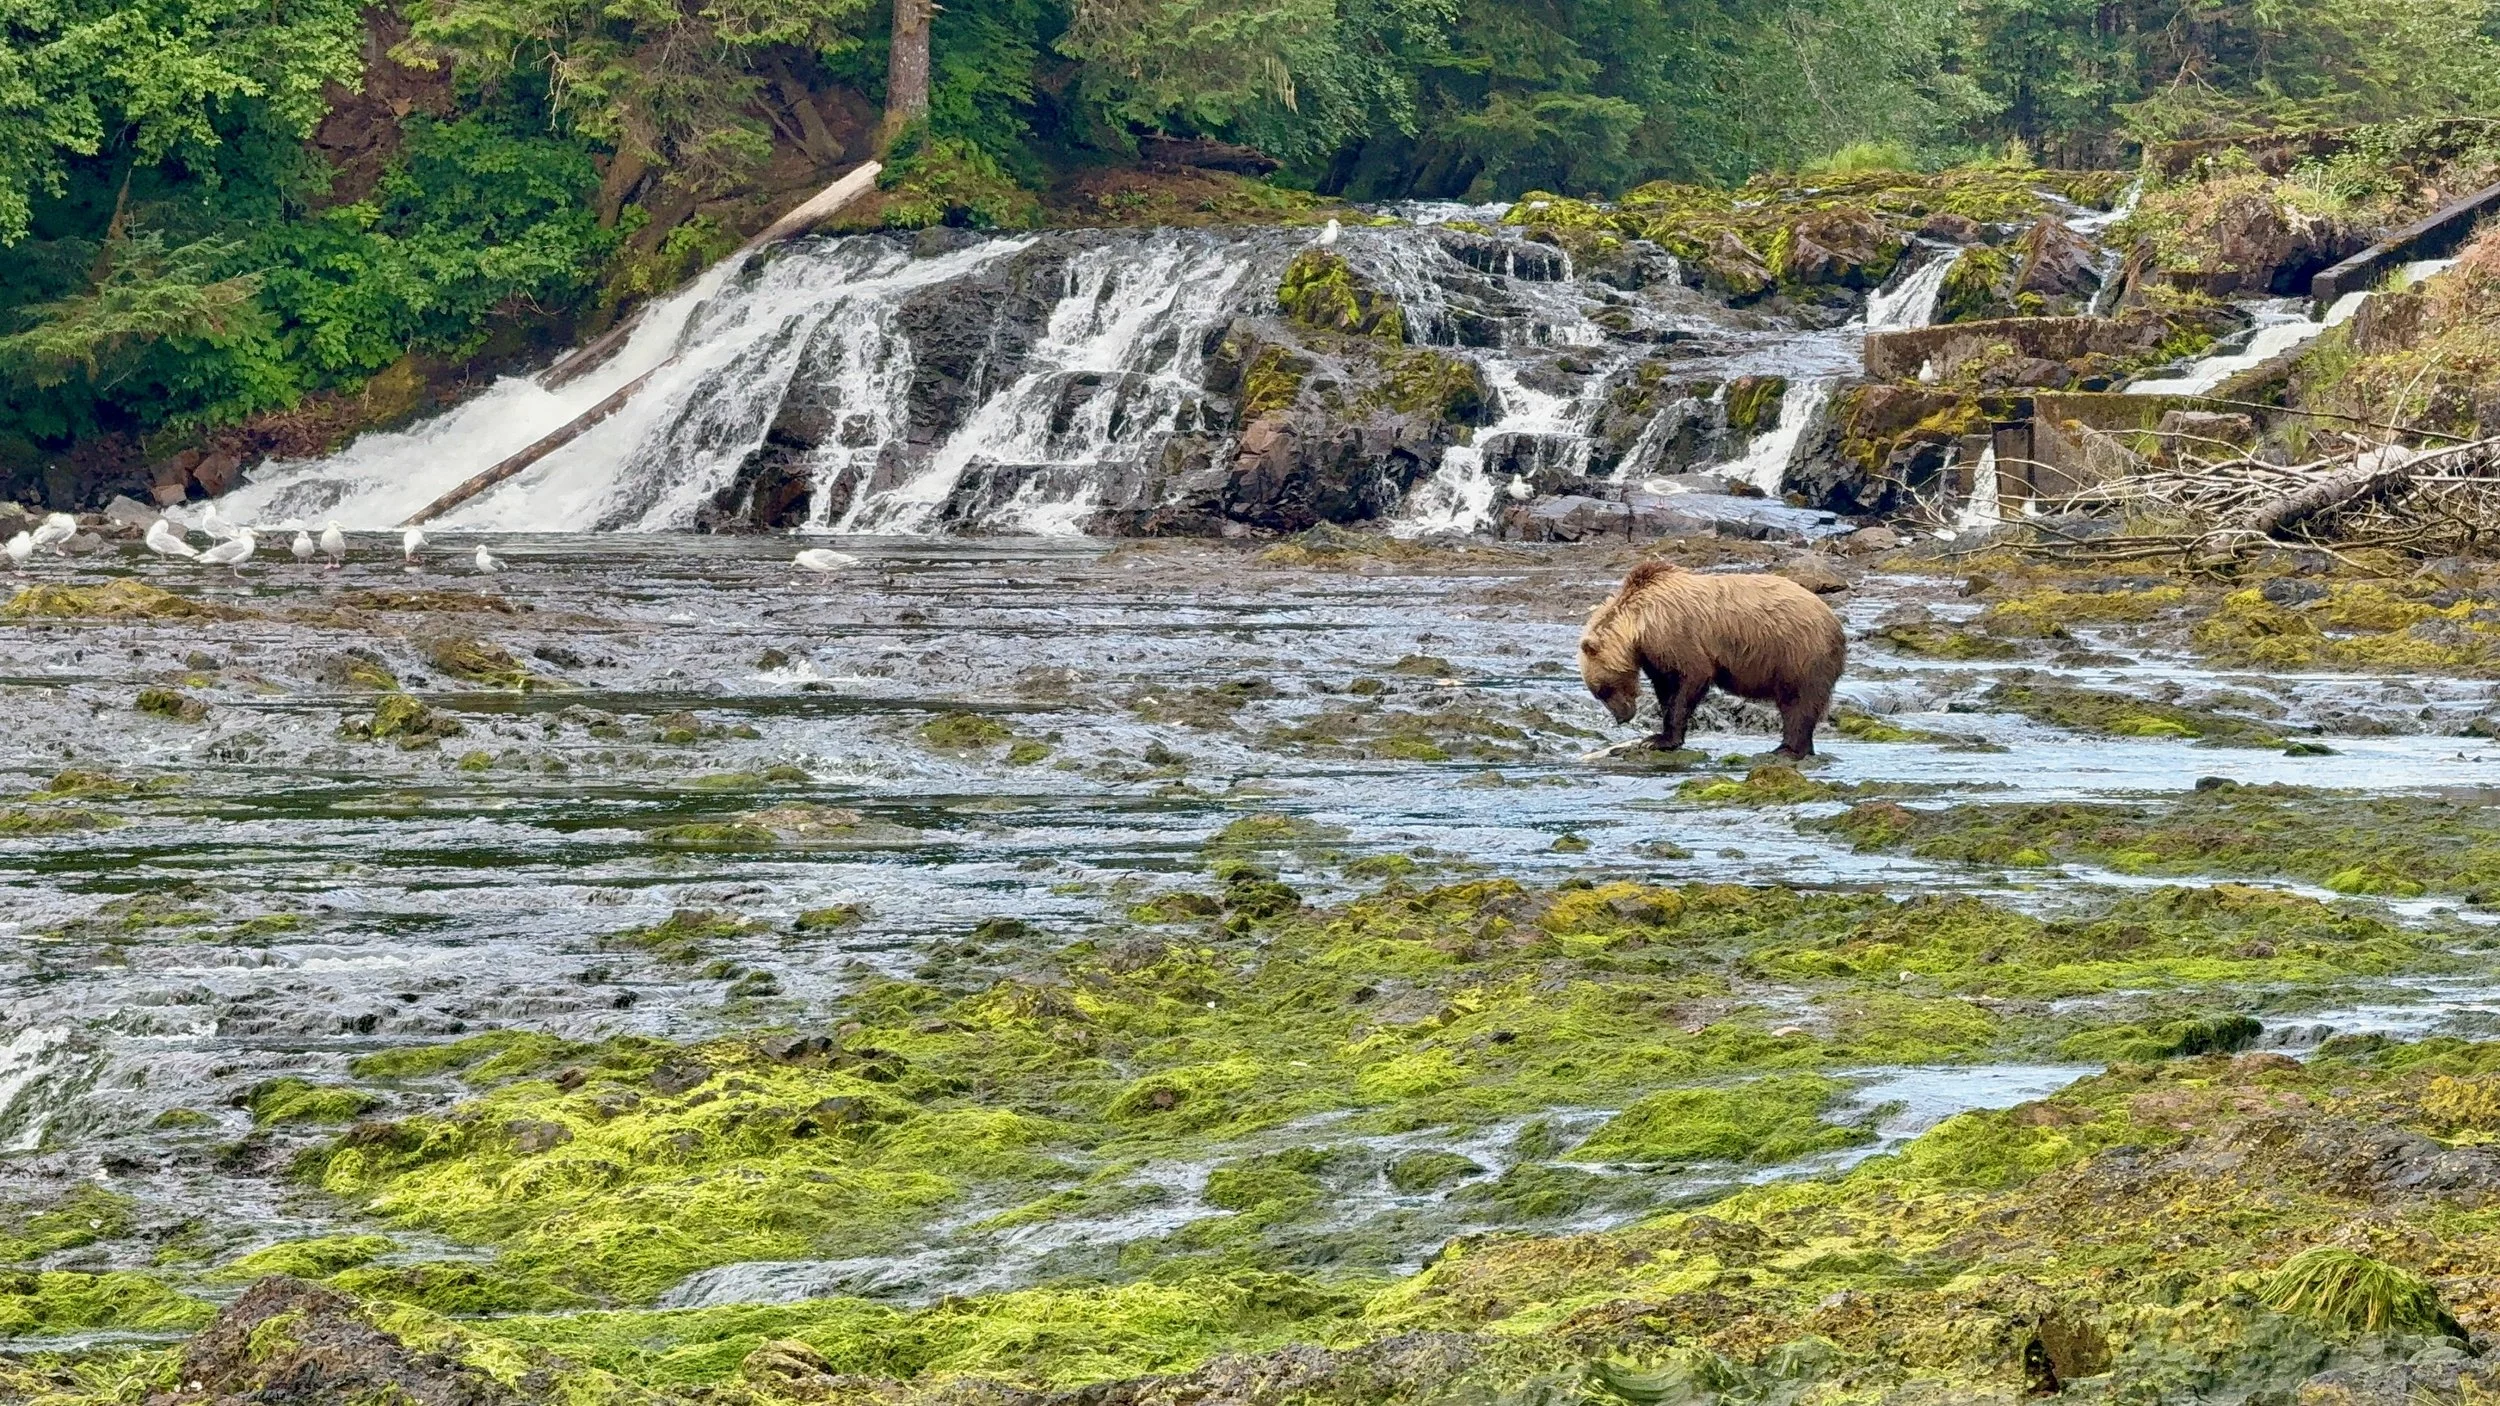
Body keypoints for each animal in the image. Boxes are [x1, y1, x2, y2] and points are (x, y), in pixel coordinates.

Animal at [1578, 560, 1847, 758]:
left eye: (1602, 689)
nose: (1622, 717)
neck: (1639, 625)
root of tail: (1834, 621)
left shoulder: (1675, 635)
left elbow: (1690, 678)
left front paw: (1658, 740)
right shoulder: (1654, 655)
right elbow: (1665, 686)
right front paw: (1658, 736)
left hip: (1798, 653)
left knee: (1798, 702)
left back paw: (1788, 749)